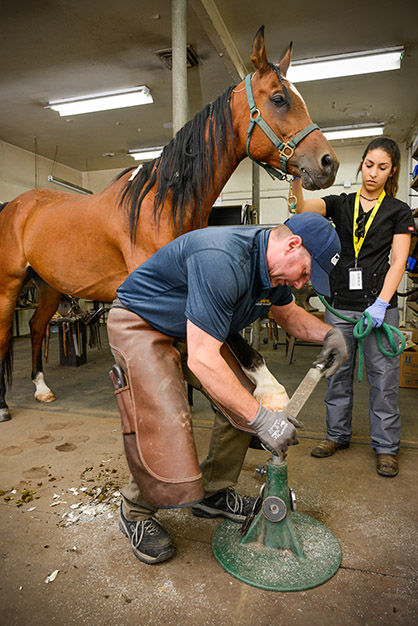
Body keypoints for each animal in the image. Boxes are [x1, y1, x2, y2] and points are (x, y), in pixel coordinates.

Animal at [0, 26, 338, 422]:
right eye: (279, 99)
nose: (328, 163)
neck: (163, 201)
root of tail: (14, 205)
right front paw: (271, 391)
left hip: (50, 286)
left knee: (36, 328)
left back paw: (41, 388)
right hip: (9, 286)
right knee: (5, 336)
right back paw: (3, 405)